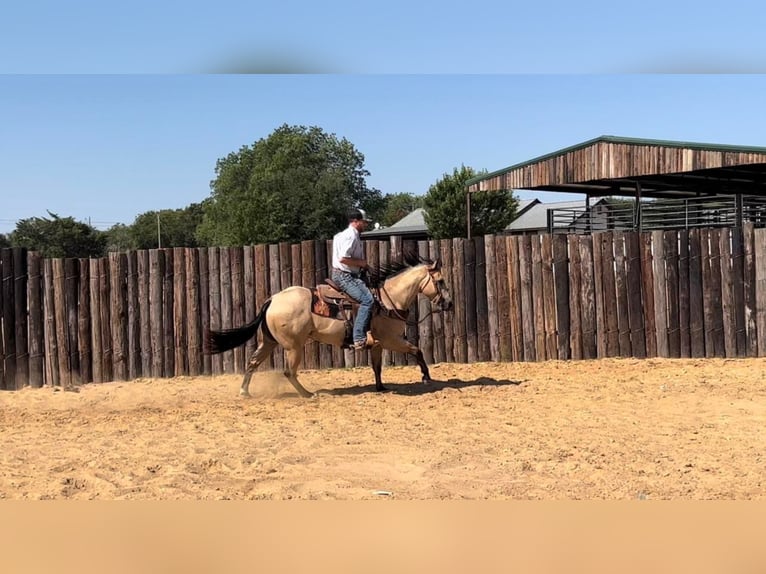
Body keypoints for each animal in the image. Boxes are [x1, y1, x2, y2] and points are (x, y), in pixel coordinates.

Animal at [207, 258, 452, 398]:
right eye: (440, 281)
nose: (449, 304)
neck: (388, 300)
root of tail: (273, 299)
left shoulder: (378, 344)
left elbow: (377, 367)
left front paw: (381, 387)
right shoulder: (391, 340)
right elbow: (417, 350)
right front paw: (426, 377)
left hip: (268, 342)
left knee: (252, 362)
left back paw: (245, 392)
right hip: (293, 347)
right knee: (288, 372)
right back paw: (307, 394)